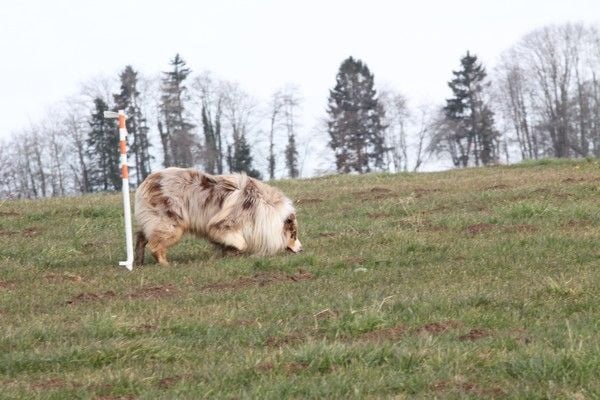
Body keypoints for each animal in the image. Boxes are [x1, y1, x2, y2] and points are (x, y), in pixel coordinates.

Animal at [132, 166, 300, 266]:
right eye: (293, 234)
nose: (301, 249)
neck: (265, 209)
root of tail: (146, 182)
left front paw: (226, 253)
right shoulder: (225, 224)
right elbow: (240, 242)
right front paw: (233, 251)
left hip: (151, 221)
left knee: (141, 237)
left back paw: (139, 261)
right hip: (170, 223)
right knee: (155, 244)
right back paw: (166, 264)